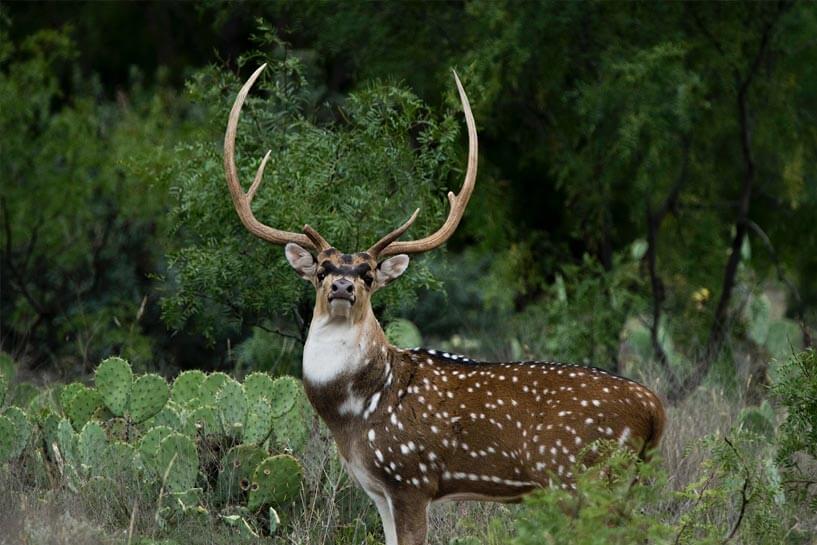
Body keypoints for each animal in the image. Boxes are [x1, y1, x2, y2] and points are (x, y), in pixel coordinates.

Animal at [224, 64, 666, 545]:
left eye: (369, 273)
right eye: (322, 269)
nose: (342, 286)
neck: (354, 414)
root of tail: (655, 410)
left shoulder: (412, 475)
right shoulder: (378, 489)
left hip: (584, 474)